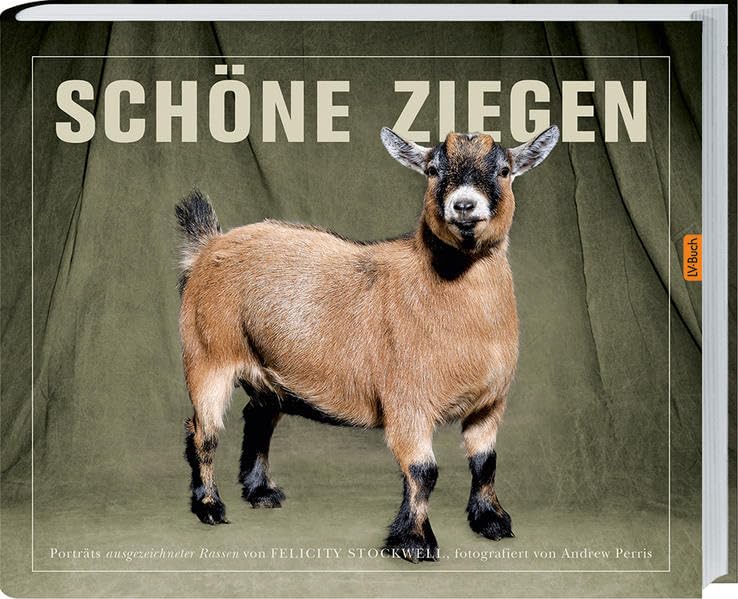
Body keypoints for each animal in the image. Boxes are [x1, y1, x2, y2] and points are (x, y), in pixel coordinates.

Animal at [176, 125, 559, 562]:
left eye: (505, 170)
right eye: (432, 169)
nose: (463, 205)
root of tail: (207, 246)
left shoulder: (490, 403)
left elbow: (485, 462)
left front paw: (491, 522)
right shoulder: (407, 403)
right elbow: (423, 471)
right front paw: (414, 542)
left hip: (268, 372)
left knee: (258, 417)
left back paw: (261, 492)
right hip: (208, 356)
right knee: (203, 432)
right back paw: (209, 506)